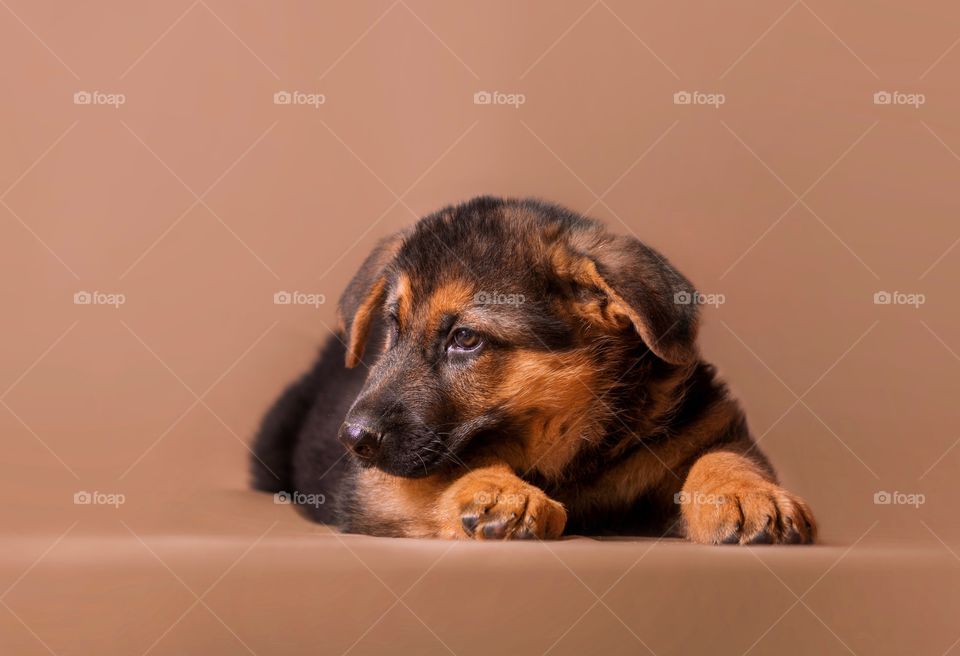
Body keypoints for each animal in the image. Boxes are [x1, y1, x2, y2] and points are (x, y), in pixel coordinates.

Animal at [251, 195, 812, 544]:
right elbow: (449, 464)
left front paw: (745, 494)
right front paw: (498, 491)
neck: (575, 448)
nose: (353, 440)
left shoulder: (708, 426)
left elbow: (723, 456)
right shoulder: (373, 485)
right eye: (392, 326)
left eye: (466, 339)